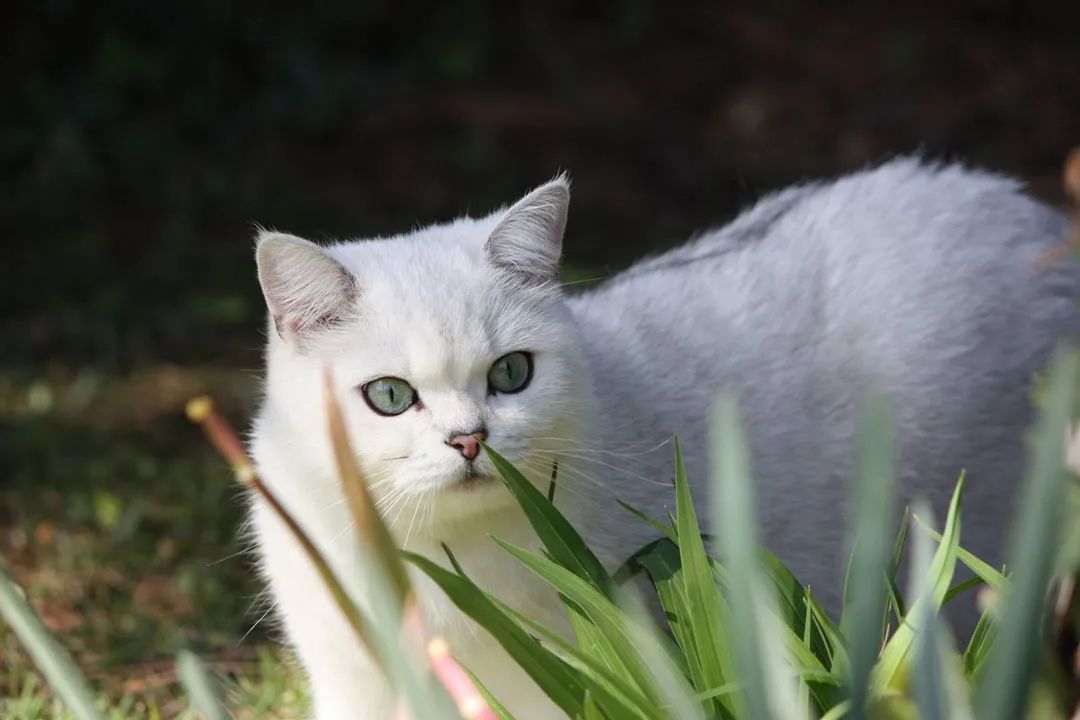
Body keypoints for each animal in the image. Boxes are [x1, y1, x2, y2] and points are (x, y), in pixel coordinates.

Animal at [247, 158, 1080, 720]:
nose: (469, 441)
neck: (436, 556)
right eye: (389, 397)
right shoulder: (355, 682)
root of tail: (1043, 226)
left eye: (512, 374)